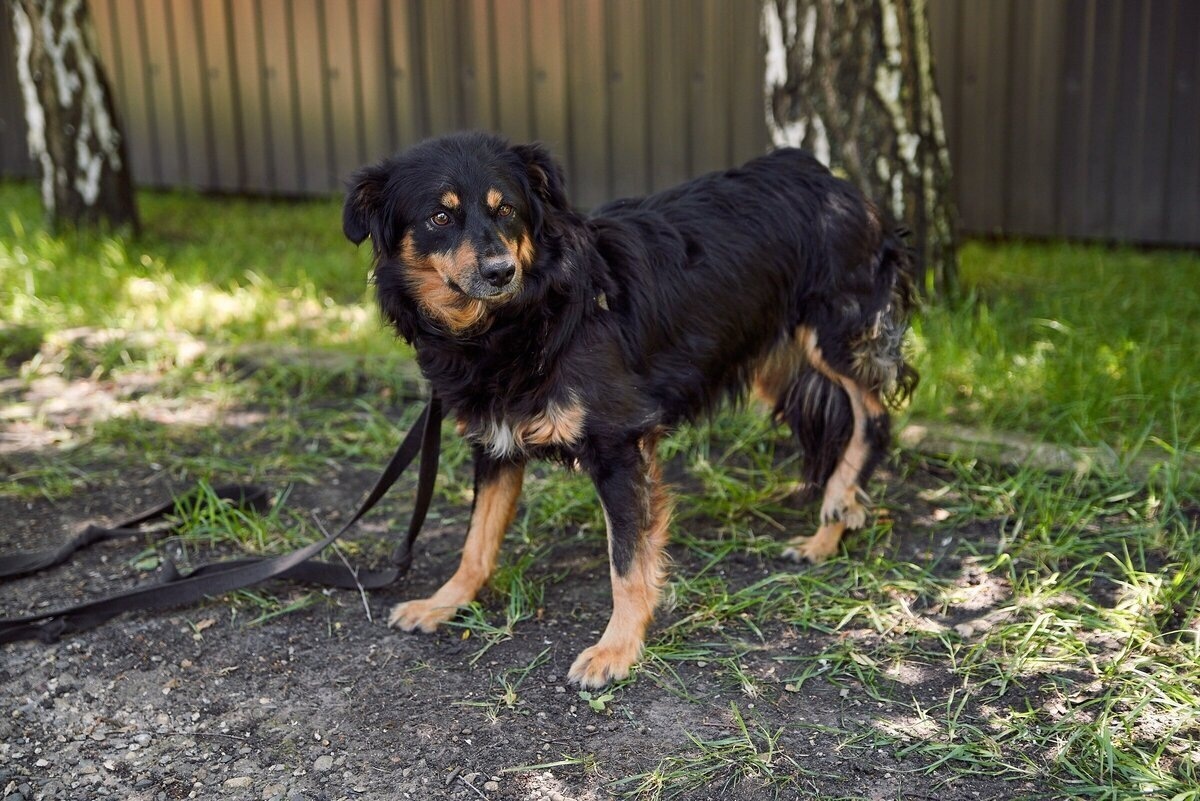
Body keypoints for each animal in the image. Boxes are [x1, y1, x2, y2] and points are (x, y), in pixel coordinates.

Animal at [343, 133, 912, 690]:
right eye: (440, 217)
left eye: (505, 210)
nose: (501, 272)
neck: (522, 321)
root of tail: (830, 180)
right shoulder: (496, 443)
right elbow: (477, 541)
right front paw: (445, 602)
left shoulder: (619, 445)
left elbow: (628, 563)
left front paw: (616, 650)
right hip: (773, 357)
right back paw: (827, 536)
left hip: (835, 332)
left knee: (873, 417)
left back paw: (840, 498)